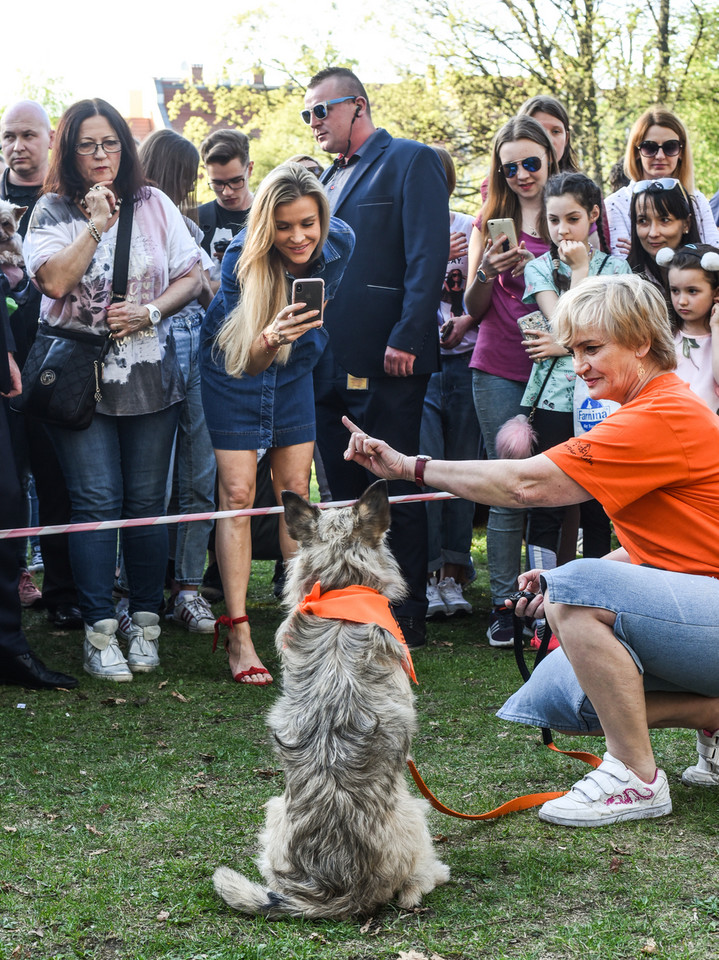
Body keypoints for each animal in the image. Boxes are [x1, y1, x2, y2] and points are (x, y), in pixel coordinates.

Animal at [214, 484, 450, 920]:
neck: (340, 588)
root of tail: (333, 892)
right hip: (413, 814)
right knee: (413, 883)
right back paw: (430, 876)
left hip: (275, 810)